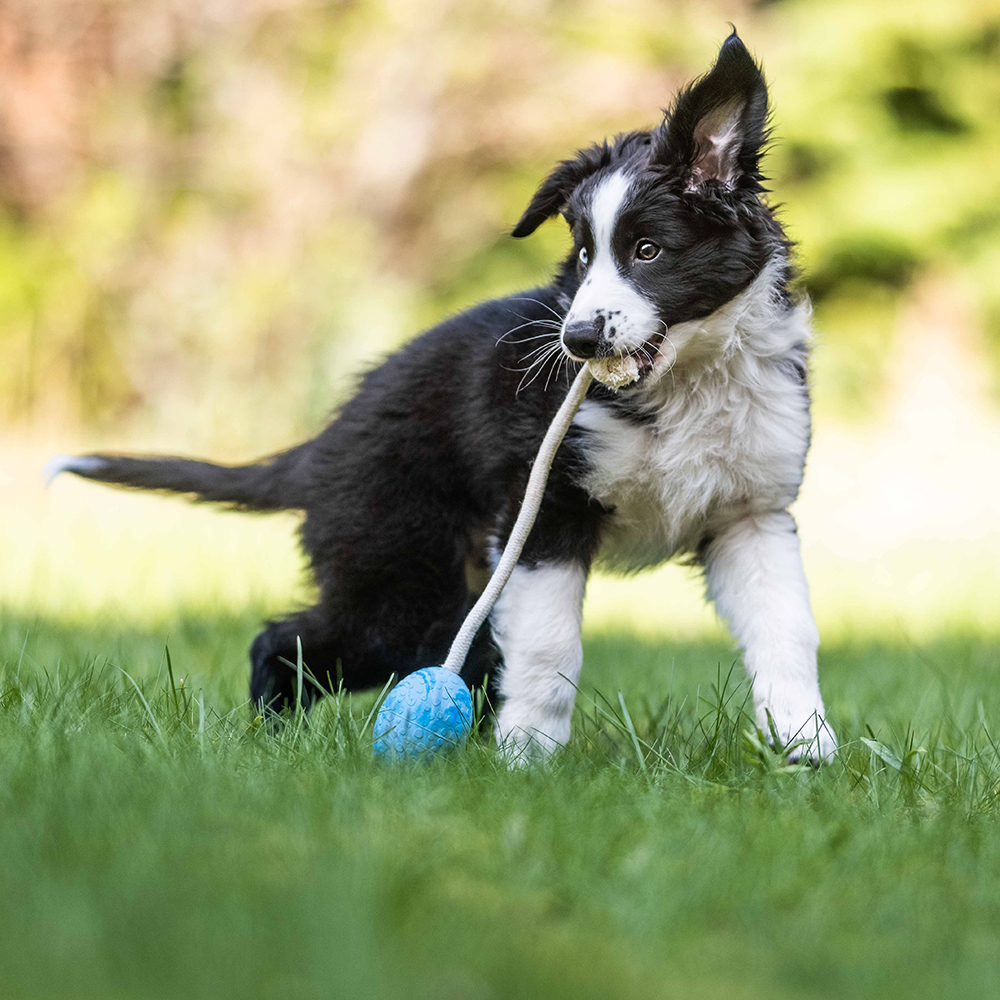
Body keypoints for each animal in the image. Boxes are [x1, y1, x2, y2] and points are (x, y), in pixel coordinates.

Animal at [50, 33, 840, 764]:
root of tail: (324, 443)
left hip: (443, 590)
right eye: (584, 255)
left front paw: (805, 748)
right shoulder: (545, 514)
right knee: (282, 641)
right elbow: (551, 649)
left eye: (648, 251)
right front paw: (530, 760)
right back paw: (269, 746)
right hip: (404, 584)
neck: (686, 382)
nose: (578, 340)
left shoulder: (748, 516)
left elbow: (788, 633)